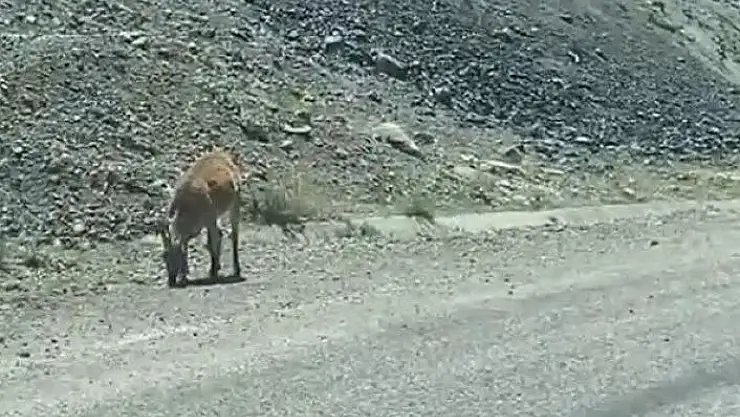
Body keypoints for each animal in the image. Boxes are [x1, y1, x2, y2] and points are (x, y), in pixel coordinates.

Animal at [156, 148, 244, 288]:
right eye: (164, 255)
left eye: (177, 255)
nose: (171, 280)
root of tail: (223, 155)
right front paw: (184, 276)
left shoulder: (209, 219)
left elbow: (213, 241)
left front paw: (213, 273)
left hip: (235, 202)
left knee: (233, 234)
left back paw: (235, 269)